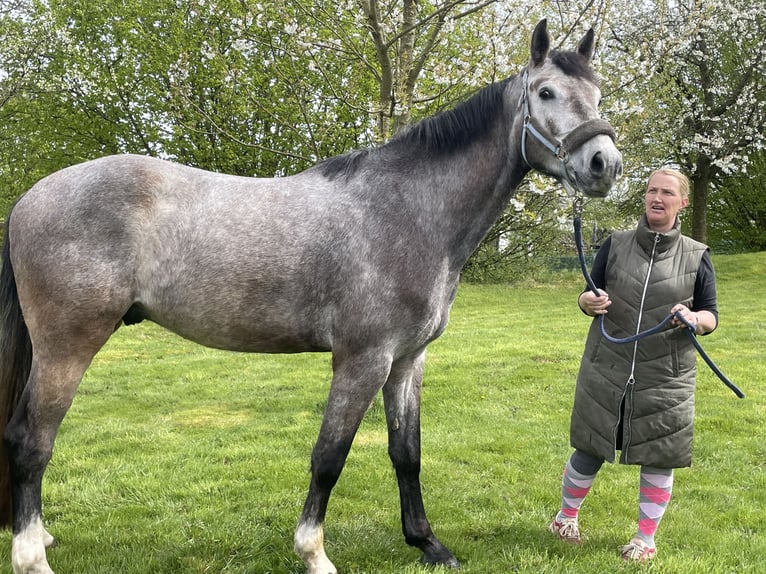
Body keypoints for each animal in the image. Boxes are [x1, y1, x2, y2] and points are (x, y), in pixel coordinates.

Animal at [0, 19, 621, 574]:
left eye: (597, 93)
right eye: (546, 92)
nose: (604, 164)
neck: (406, 211)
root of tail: (31, 196)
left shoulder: (406, 361)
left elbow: (407, 452)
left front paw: (427, 543)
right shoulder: (362, 361)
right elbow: (329, 457)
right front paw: (313, 553)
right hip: (67, 347)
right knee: (32, 441)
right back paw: (32, 557)